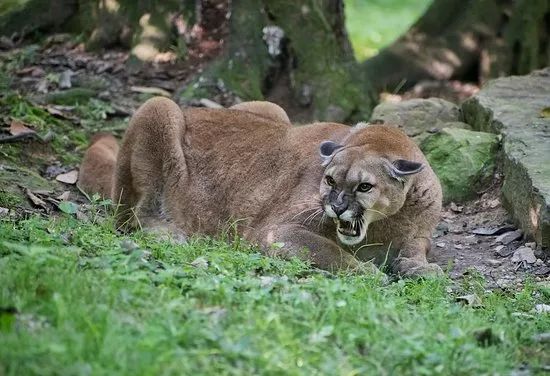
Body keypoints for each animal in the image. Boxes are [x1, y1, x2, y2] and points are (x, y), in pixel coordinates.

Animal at [78, 97, 444, 276]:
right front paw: (371, 273)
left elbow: (418, 247)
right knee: (128, 215)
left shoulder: (419, 229)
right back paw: (168, 233)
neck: (385, 223)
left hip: (270, 108)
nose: (337, 206)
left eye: (364, 186)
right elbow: (332, 252)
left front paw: (420, 267)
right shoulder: (275, 231)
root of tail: (190, 108)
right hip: (158, 107)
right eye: (329, 180)